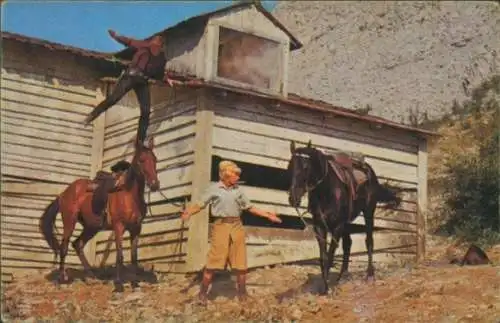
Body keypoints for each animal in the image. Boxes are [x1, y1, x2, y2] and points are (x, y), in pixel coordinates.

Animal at [39, 137, 159, 294]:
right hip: (70, 221)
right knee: (64, 247)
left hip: (91, 227)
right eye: (141, 160)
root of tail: (64, 194)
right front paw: (119, 285)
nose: (155, 185)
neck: (129, 195)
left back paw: (91, 276)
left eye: (155, 159)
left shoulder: (136, 229)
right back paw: (61, 280)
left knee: (78, 244)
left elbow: (134, 257)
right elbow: (120, 256)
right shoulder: (119, 227)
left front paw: (135, 285)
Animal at [288, 140, 400, 294]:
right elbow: (323, 257)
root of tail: (369, 172)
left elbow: (330, 255)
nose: (293, 198)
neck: (326, 191)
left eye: (306, 167)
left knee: (369, 241)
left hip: (368, 213)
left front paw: (326, 289)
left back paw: (370, 275)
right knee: (348, 244)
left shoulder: (337, 226)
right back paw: (342, 275)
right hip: (347, 223)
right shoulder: (320, 227)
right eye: (290, 166)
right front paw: (324, 286)